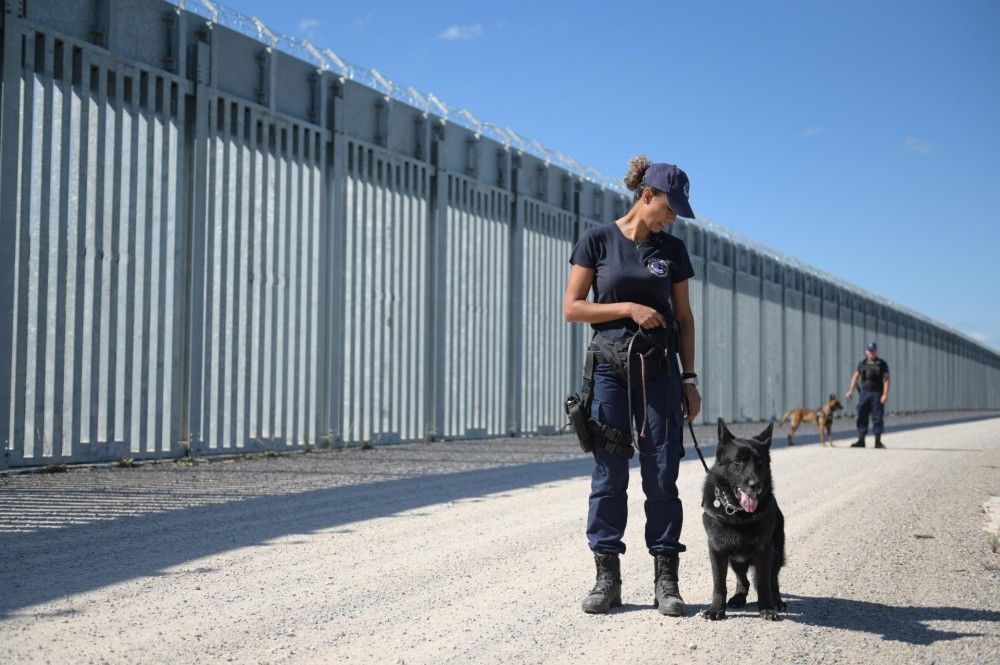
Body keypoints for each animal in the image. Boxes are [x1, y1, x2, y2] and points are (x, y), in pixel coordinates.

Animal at [700, 418, 784, 620]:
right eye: (738, 461)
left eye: (760, 462)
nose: (755, 485)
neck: (737, 513)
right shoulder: (717, 550)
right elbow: (719, 583)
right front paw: (716, 609)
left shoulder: (764, 550)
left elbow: (763, 582)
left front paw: (766, 607)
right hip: (736, 559)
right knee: (743, 580)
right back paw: (738, 596)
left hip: (776, 553)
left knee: (773, 579)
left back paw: (777, 600)